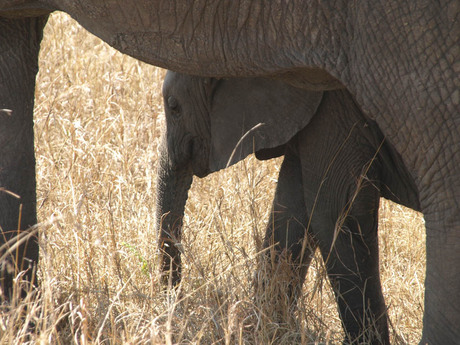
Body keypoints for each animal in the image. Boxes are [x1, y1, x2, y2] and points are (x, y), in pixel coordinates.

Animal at [156, 71, 418, 342]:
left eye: (174, 107)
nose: (174, 302)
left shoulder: (336, 117)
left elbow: (336, 214)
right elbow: (290, 211)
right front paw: (265, 330)